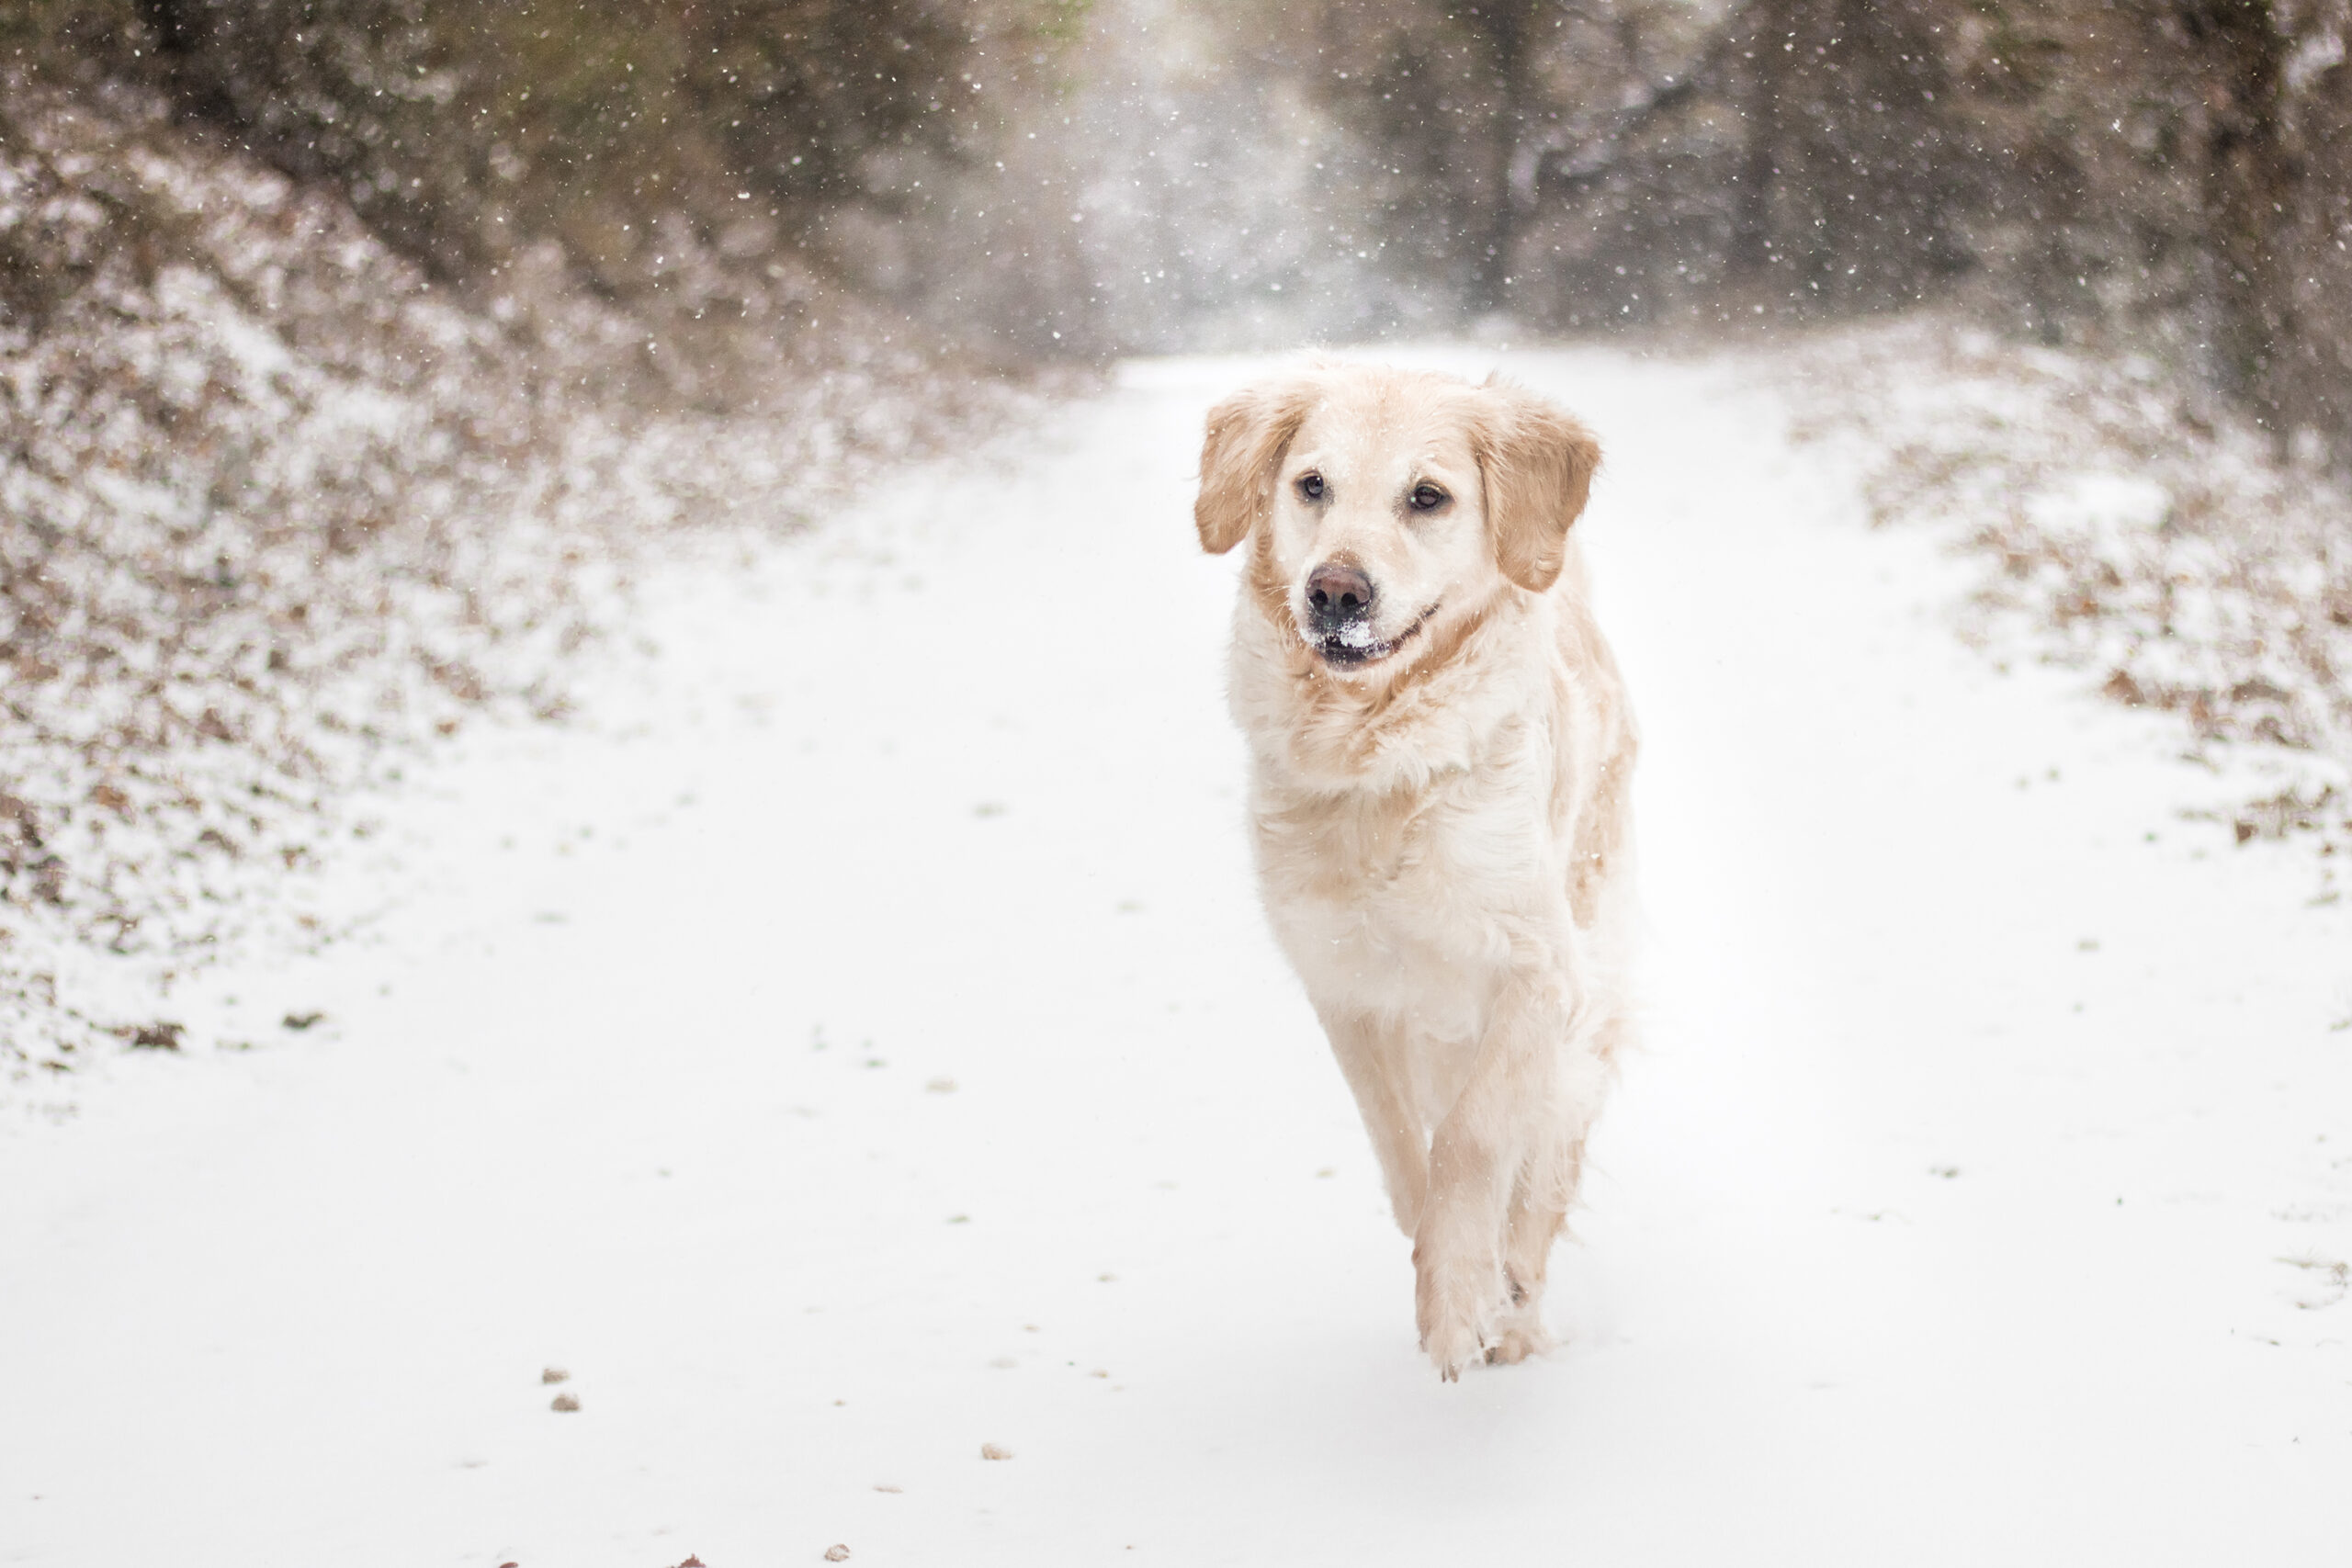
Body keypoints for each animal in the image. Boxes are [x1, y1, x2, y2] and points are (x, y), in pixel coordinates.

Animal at [1194, 362, 1636, 1382]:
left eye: (1427, 497)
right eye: (1311, 484)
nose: (1335, 591)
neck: (1376, 767)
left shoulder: (1539, 972)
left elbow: (1475, 1137)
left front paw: (1462, 1296)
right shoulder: (1342, 980)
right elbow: (1401, 1140)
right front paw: (1438, 1253)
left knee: (1542, 1169)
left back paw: (1515, 1306)